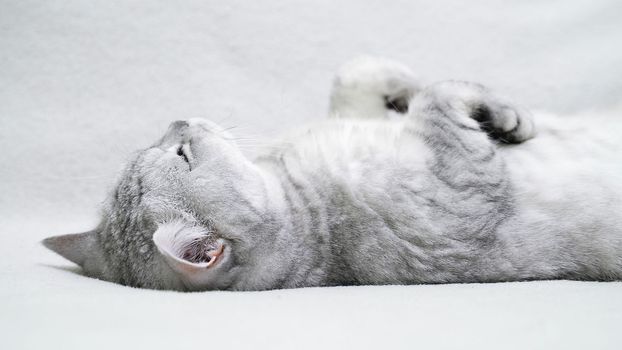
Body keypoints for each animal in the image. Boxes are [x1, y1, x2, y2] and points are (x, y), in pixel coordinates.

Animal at [44, 56, 622, 290]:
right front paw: (503, 113)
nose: (177, 119)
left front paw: (404, 84)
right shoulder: (457, 195)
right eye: (183, 153)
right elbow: (439, 100)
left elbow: (355, 73)